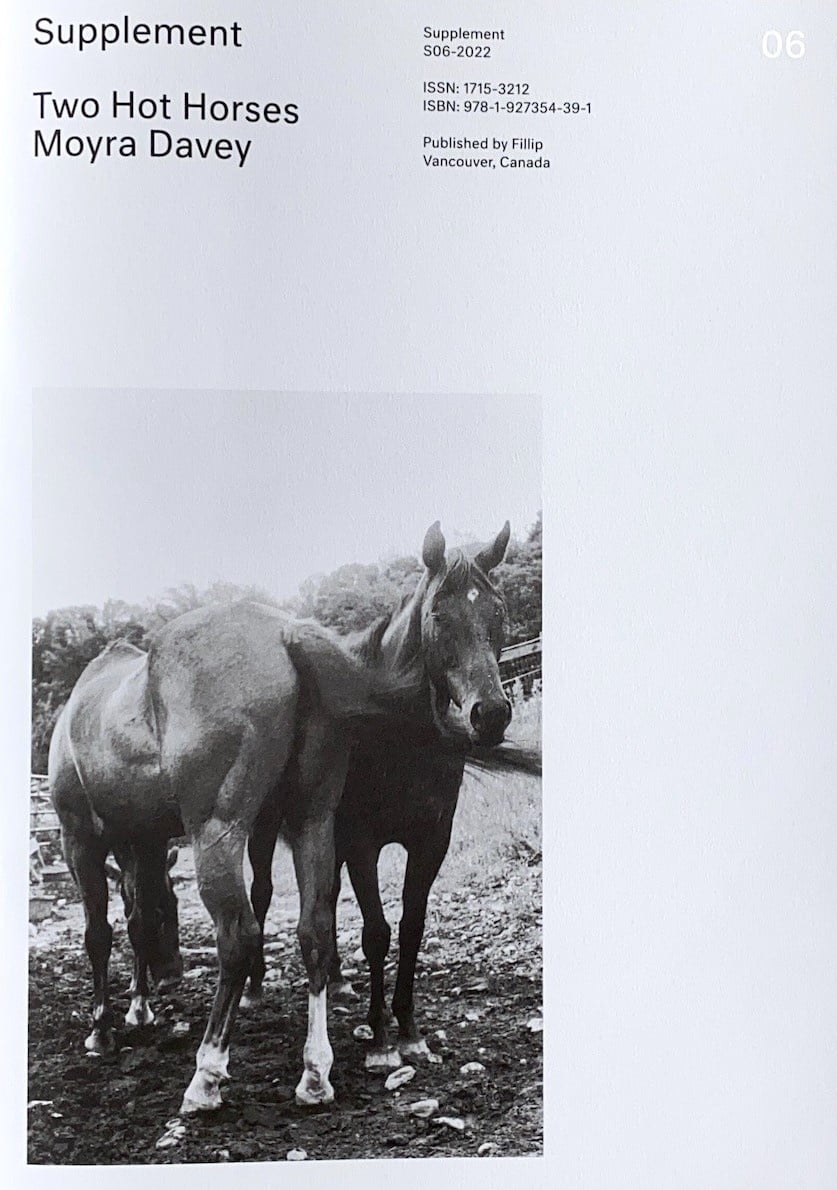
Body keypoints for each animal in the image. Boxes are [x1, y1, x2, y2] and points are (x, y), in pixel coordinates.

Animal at [48, 600, 419, 1115]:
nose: (171, 975)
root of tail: (285, 634)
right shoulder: (143, 842)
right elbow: (139, 920)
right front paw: (139, 1007)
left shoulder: (79, 842)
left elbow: (98, 935)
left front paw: (101, 1028)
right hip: (310, 821)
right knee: (315, 932)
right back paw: (315, 1074)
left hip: (216, 836)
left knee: (238, 938)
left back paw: (207, 1074)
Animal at [245, 520, 515, 1069]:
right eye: (438, 615)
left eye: (496, 610)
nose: (491, 714)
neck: (395, 737)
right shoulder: (362, 843)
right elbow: (377, 932)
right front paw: (382, 1036)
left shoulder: (430, 842)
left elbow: (411, 928)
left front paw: (409, 1027)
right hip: (266, 833)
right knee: (262, 893)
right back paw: (255, 985)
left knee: (326, 900)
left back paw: (336, 980)